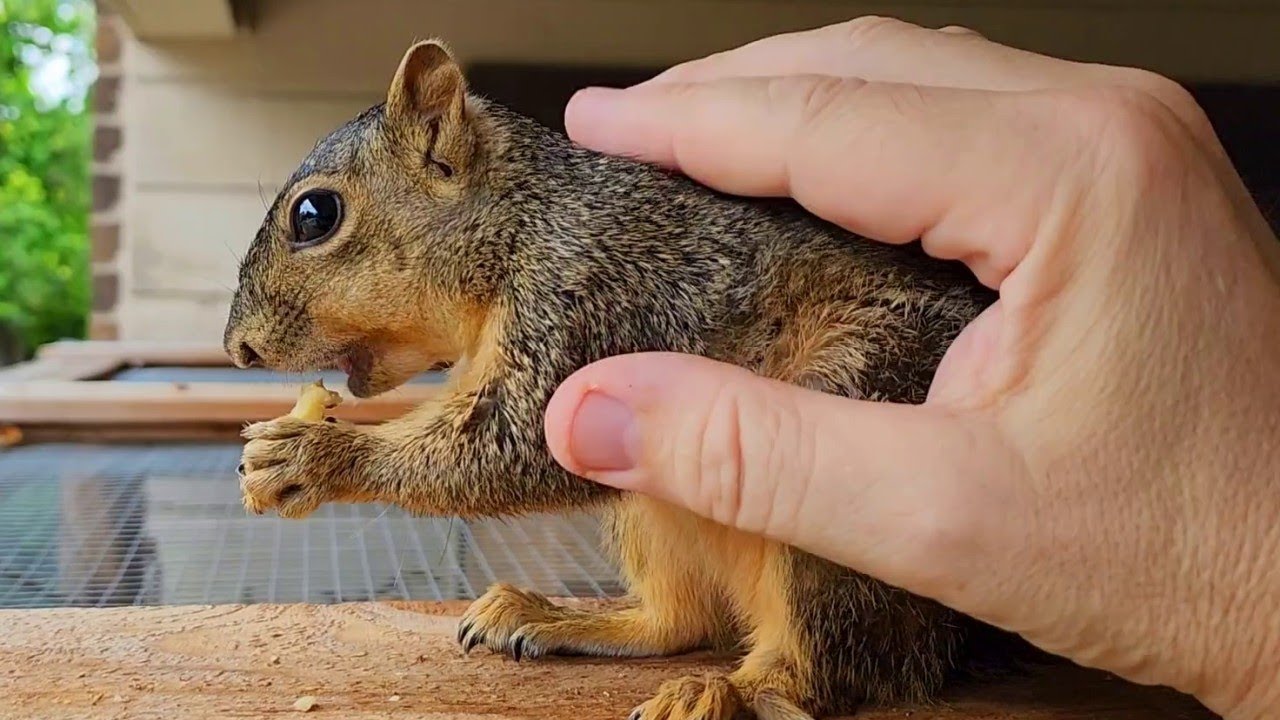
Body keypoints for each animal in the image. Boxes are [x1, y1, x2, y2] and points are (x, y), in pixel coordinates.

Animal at [225, 39, 1011, 720]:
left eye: (315, 214)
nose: (238, 349)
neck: (522, 224)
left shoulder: (591, 295)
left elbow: (512, 446)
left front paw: (316, 455)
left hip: (849, 430)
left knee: (834, 673)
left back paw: (727, 692)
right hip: (649, 511)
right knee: (682, 621)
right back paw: (563, 617)